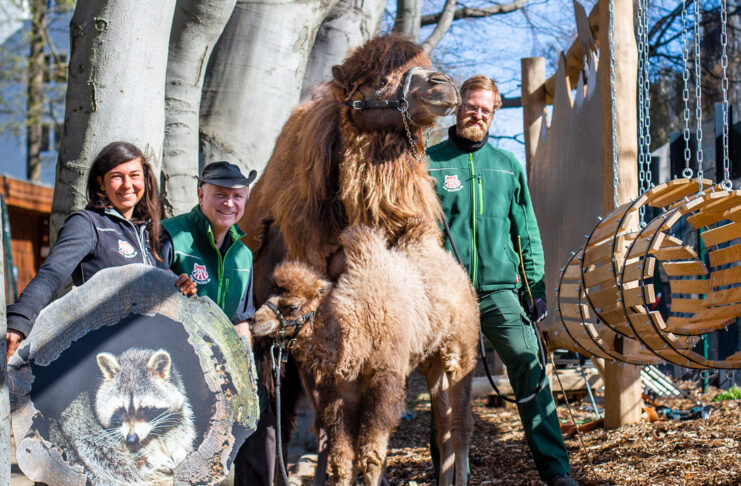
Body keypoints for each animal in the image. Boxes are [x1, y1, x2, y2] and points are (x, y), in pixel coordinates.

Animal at [251, 224, 476, 486]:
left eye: (292, 306)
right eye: (270, 295)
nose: (256, 321)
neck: (358, 327)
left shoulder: (384, 380)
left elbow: (372, 456)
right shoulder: (341, 390)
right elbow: (342, 459)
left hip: (461, 348)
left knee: (461, 424)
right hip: (432, 361)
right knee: (443, 425)